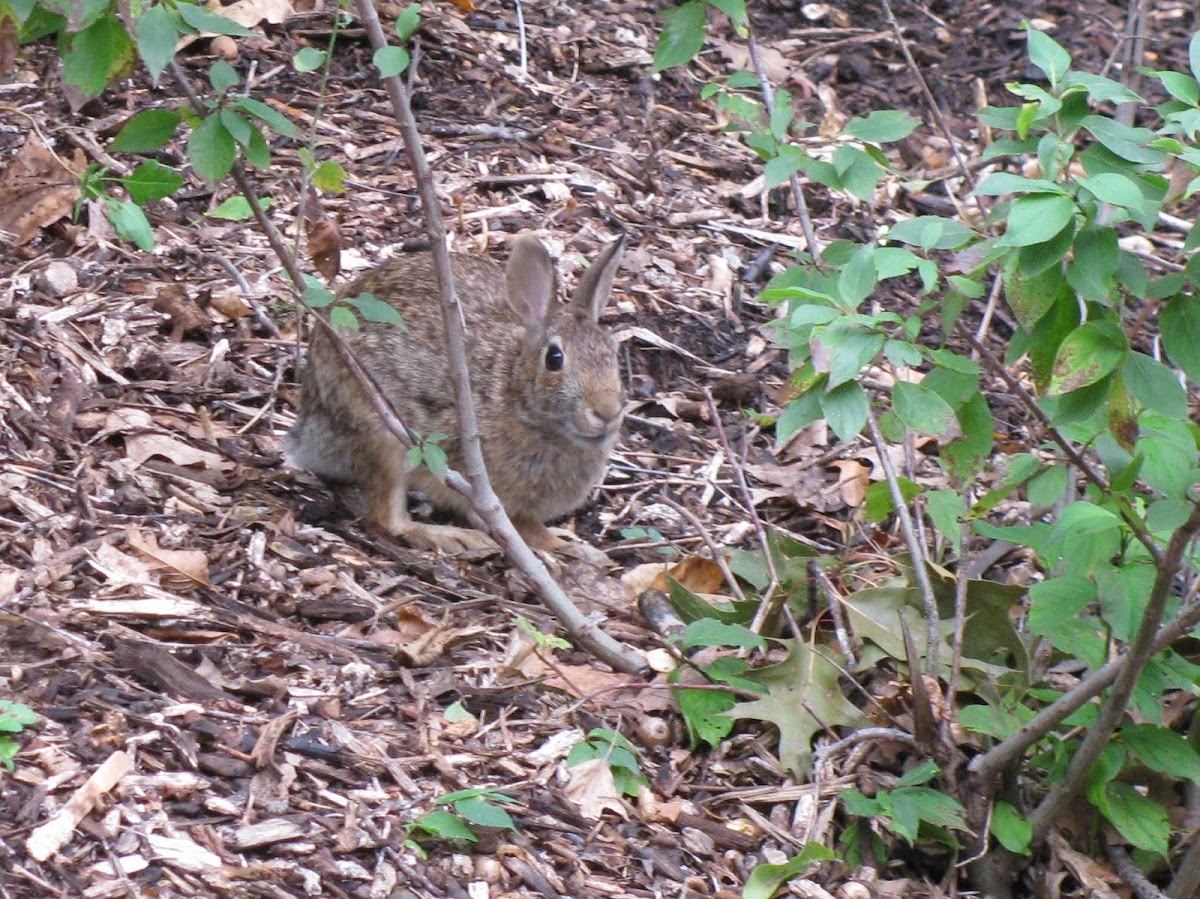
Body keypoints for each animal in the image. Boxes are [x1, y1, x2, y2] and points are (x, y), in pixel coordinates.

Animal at [285, 231, 628, 554]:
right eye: (554, 359)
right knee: (388, 517)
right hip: (382, 431)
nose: (607, 412)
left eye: (613, 355)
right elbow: (521, 529)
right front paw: (565, 547)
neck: (515, 394)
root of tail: (308, 431)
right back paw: (455, 537)